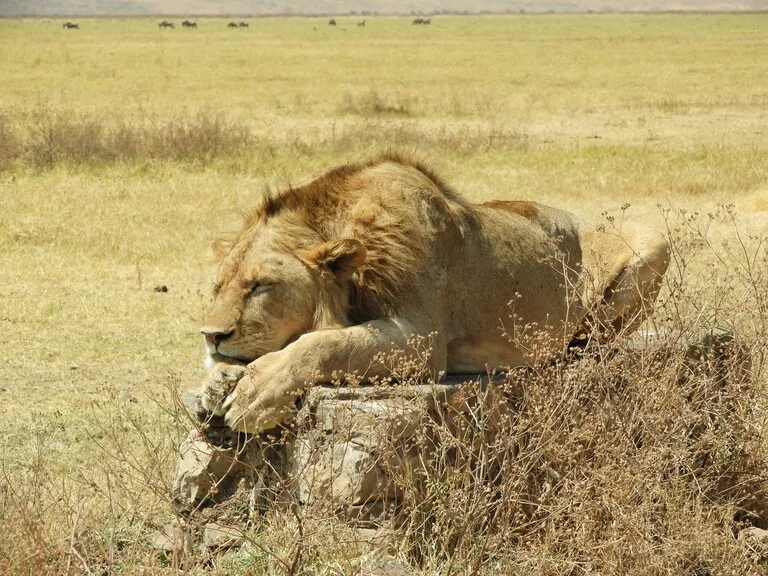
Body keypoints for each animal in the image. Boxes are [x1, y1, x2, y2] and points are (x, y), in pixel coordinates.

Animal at [201, 153, 668, 432]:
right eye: (217, 286)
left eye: (260, 286)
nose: (211, 336)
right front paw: (222, 375)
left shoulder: (424, 340)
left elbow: (324, 344)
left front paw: (257, 395)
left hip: (654, 242)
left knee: (595, 341)